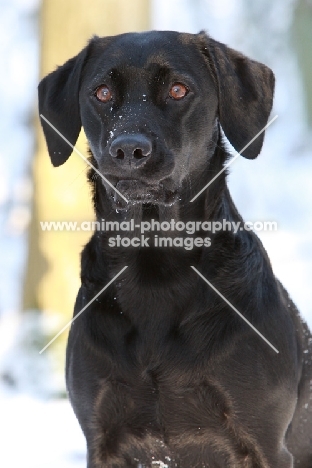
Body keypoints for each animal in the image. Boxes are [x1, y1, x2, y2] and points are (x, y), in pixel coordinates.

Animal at [39, 31, 312, 466]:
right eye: (101, 92)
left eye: (178, 90)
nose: (128, 149)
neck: (155, 268)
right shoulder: (101, 436)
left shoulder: (266, 445)